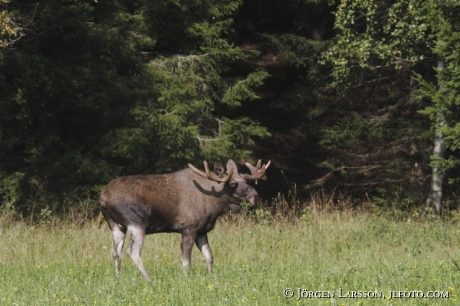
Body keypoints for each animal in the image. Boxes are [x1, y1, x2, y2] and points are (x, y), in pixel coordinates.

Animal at [100, 159, 270, 280]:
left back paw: (118, 278)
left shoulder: (202, 230)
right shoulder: (188, 228)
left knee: (116, 253)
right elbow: (186, 259)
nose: (255, 197)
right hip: (137, 223)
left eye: (246, 182)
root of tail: (103, 199)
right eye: (233, 183)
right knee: (133, 251)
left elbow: (209, 256)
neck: (214, 205)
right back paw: (149, 279)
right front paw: (185, 278)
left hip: (116, 226)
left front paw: (211, 277)